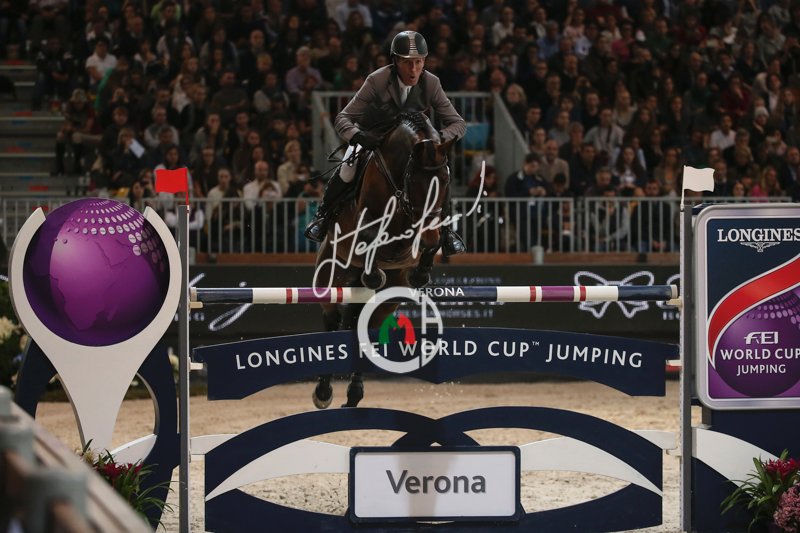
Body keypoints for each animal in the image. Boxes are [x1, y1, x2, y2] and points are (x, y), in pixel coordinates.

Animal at [311, 112, 454, 408]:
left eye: (445, 183)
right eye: (416, 182)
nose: (428, 234)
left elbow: (430, 242)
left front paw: (421, 271)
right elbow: (369, 236)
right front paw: (374, 271)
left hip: (389, 297)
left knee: (365, 327)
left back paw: (354, 394)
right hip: (329, 274)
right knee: (331, 321)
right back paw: (323, 392)